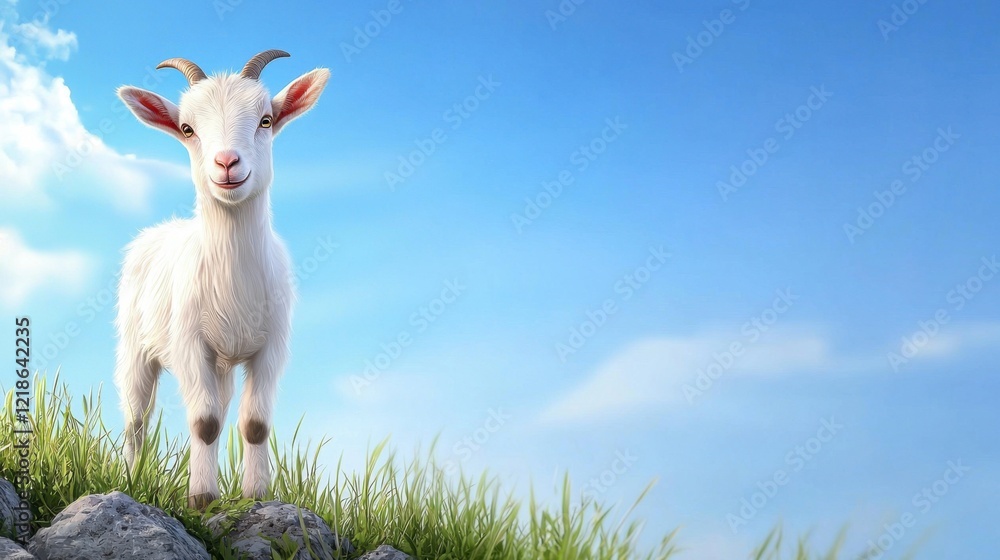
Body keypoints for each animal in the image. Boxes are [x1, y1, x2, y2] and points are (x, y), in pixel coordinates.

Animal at [114, 50, 329, 509]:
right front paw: (201, 498)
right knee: (137, 418)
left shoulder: (271, 347)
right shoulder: (190, 342)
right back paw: (130, 478)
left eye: (266, 120)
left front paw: (255, 495)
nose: (227, 163)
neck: (233, 278)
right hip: (135, 346)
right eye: (187, 128)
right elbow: (205, 422)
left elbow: (254, 424)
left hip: (222, 363)